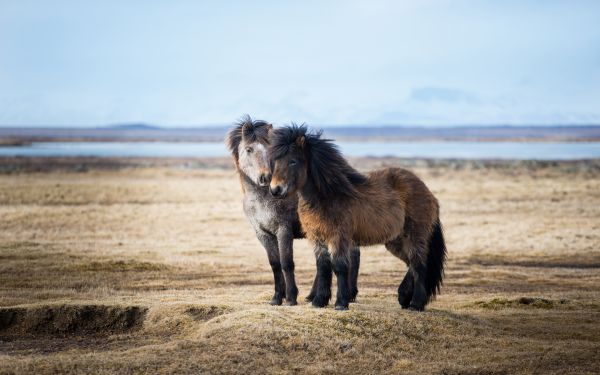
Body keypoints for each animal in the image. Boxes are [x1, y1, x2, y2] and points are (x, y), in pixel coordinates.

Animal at [227, 116, 360, 306]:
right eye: (249, 149)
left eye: (269, 150)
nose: (266, 177)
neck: (262, 199)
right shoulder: (263, 234)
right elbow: (275, 264)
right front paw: (277, 297)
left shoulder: (284, 230)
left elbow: (286, 263)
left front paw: (290, 297)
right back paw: (313, 295)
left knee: (352, 255)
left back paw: (349, 294)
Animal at [268, 123, 446, 312]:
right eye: (275, 161)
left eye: (293, 161)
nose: (275, 190)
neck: (329, 195)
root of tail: (428, 192)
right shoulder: (317, 237)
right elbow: (323, 267)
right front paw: (319, 301)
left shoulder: (338, 237)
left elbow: (339, 267)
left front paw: (340, 303)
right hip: (395, 241)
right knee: (411, 264)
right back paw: (404, 297)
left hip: (414, 236)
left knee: (419, 265)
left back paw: (416, 303)